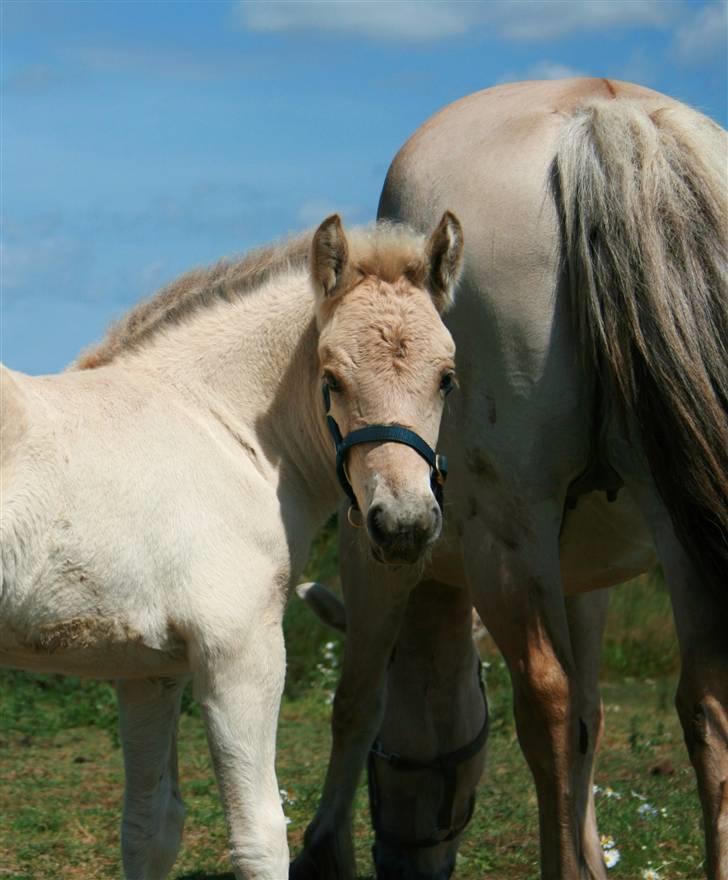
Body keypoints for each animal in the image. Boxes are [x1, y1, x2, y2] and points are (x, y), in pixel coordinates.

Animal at [0, 213, 464, 880]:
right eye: (332, 379)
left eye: (446, 379)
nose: (403, 526)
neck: (218, 428)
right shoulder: (240, 650)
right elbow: (260, 836)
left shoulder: (148, 670)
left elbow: (149, 829)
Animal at [292, 77, 728, 880]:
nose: (402, 861)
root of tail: (602, 115)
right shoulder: (582, 574)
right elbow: (591, 716)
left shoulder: (376, 553)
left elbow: (356, 698)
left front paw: (322, 847)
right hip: (674, 522)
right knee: (705, 704)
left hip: (505, 532)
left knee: (546, 702)